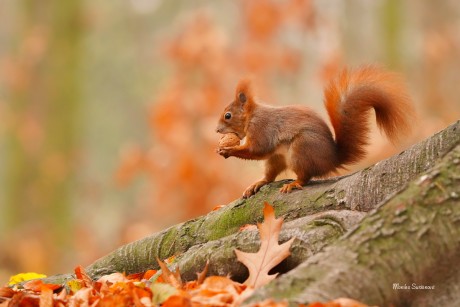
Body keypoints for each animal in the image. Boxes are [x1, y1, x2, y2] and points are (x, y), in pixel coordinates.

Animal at [216, 66, 414, 199]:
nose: (217, 130)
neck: (251, 116)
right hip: (278, 157)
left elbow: (257, 150)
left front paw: (228, 150)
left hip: (301, 149)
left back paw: (294, 184)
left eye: (228, 115)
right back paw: (259, 183)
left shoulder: (262, 129)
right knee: (270, 175)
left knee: (305, 176)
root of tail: (331, 160)